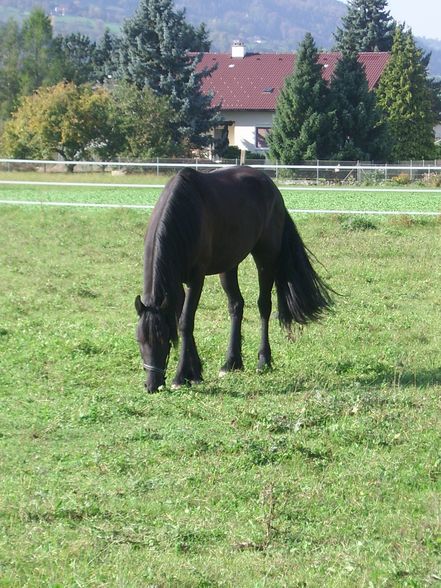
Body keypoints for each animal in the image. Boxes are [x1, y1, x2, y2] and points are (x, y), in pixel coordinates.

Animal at [136, 165, 332, 392]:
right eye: (139, 340)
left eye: (164, 339)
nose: (152, 385)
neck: (186, 212)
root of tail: (270, 185)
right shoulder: (176, 284)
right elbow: (182, 320)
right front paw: (195, 373)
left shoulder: (196, 278)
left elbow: (185, 322)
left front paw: (181, 376)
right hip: (228, 265)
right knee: (236, 305)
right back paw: (231, 362)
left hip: (266, 257)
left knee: (264, 305)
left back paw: (263, 361)